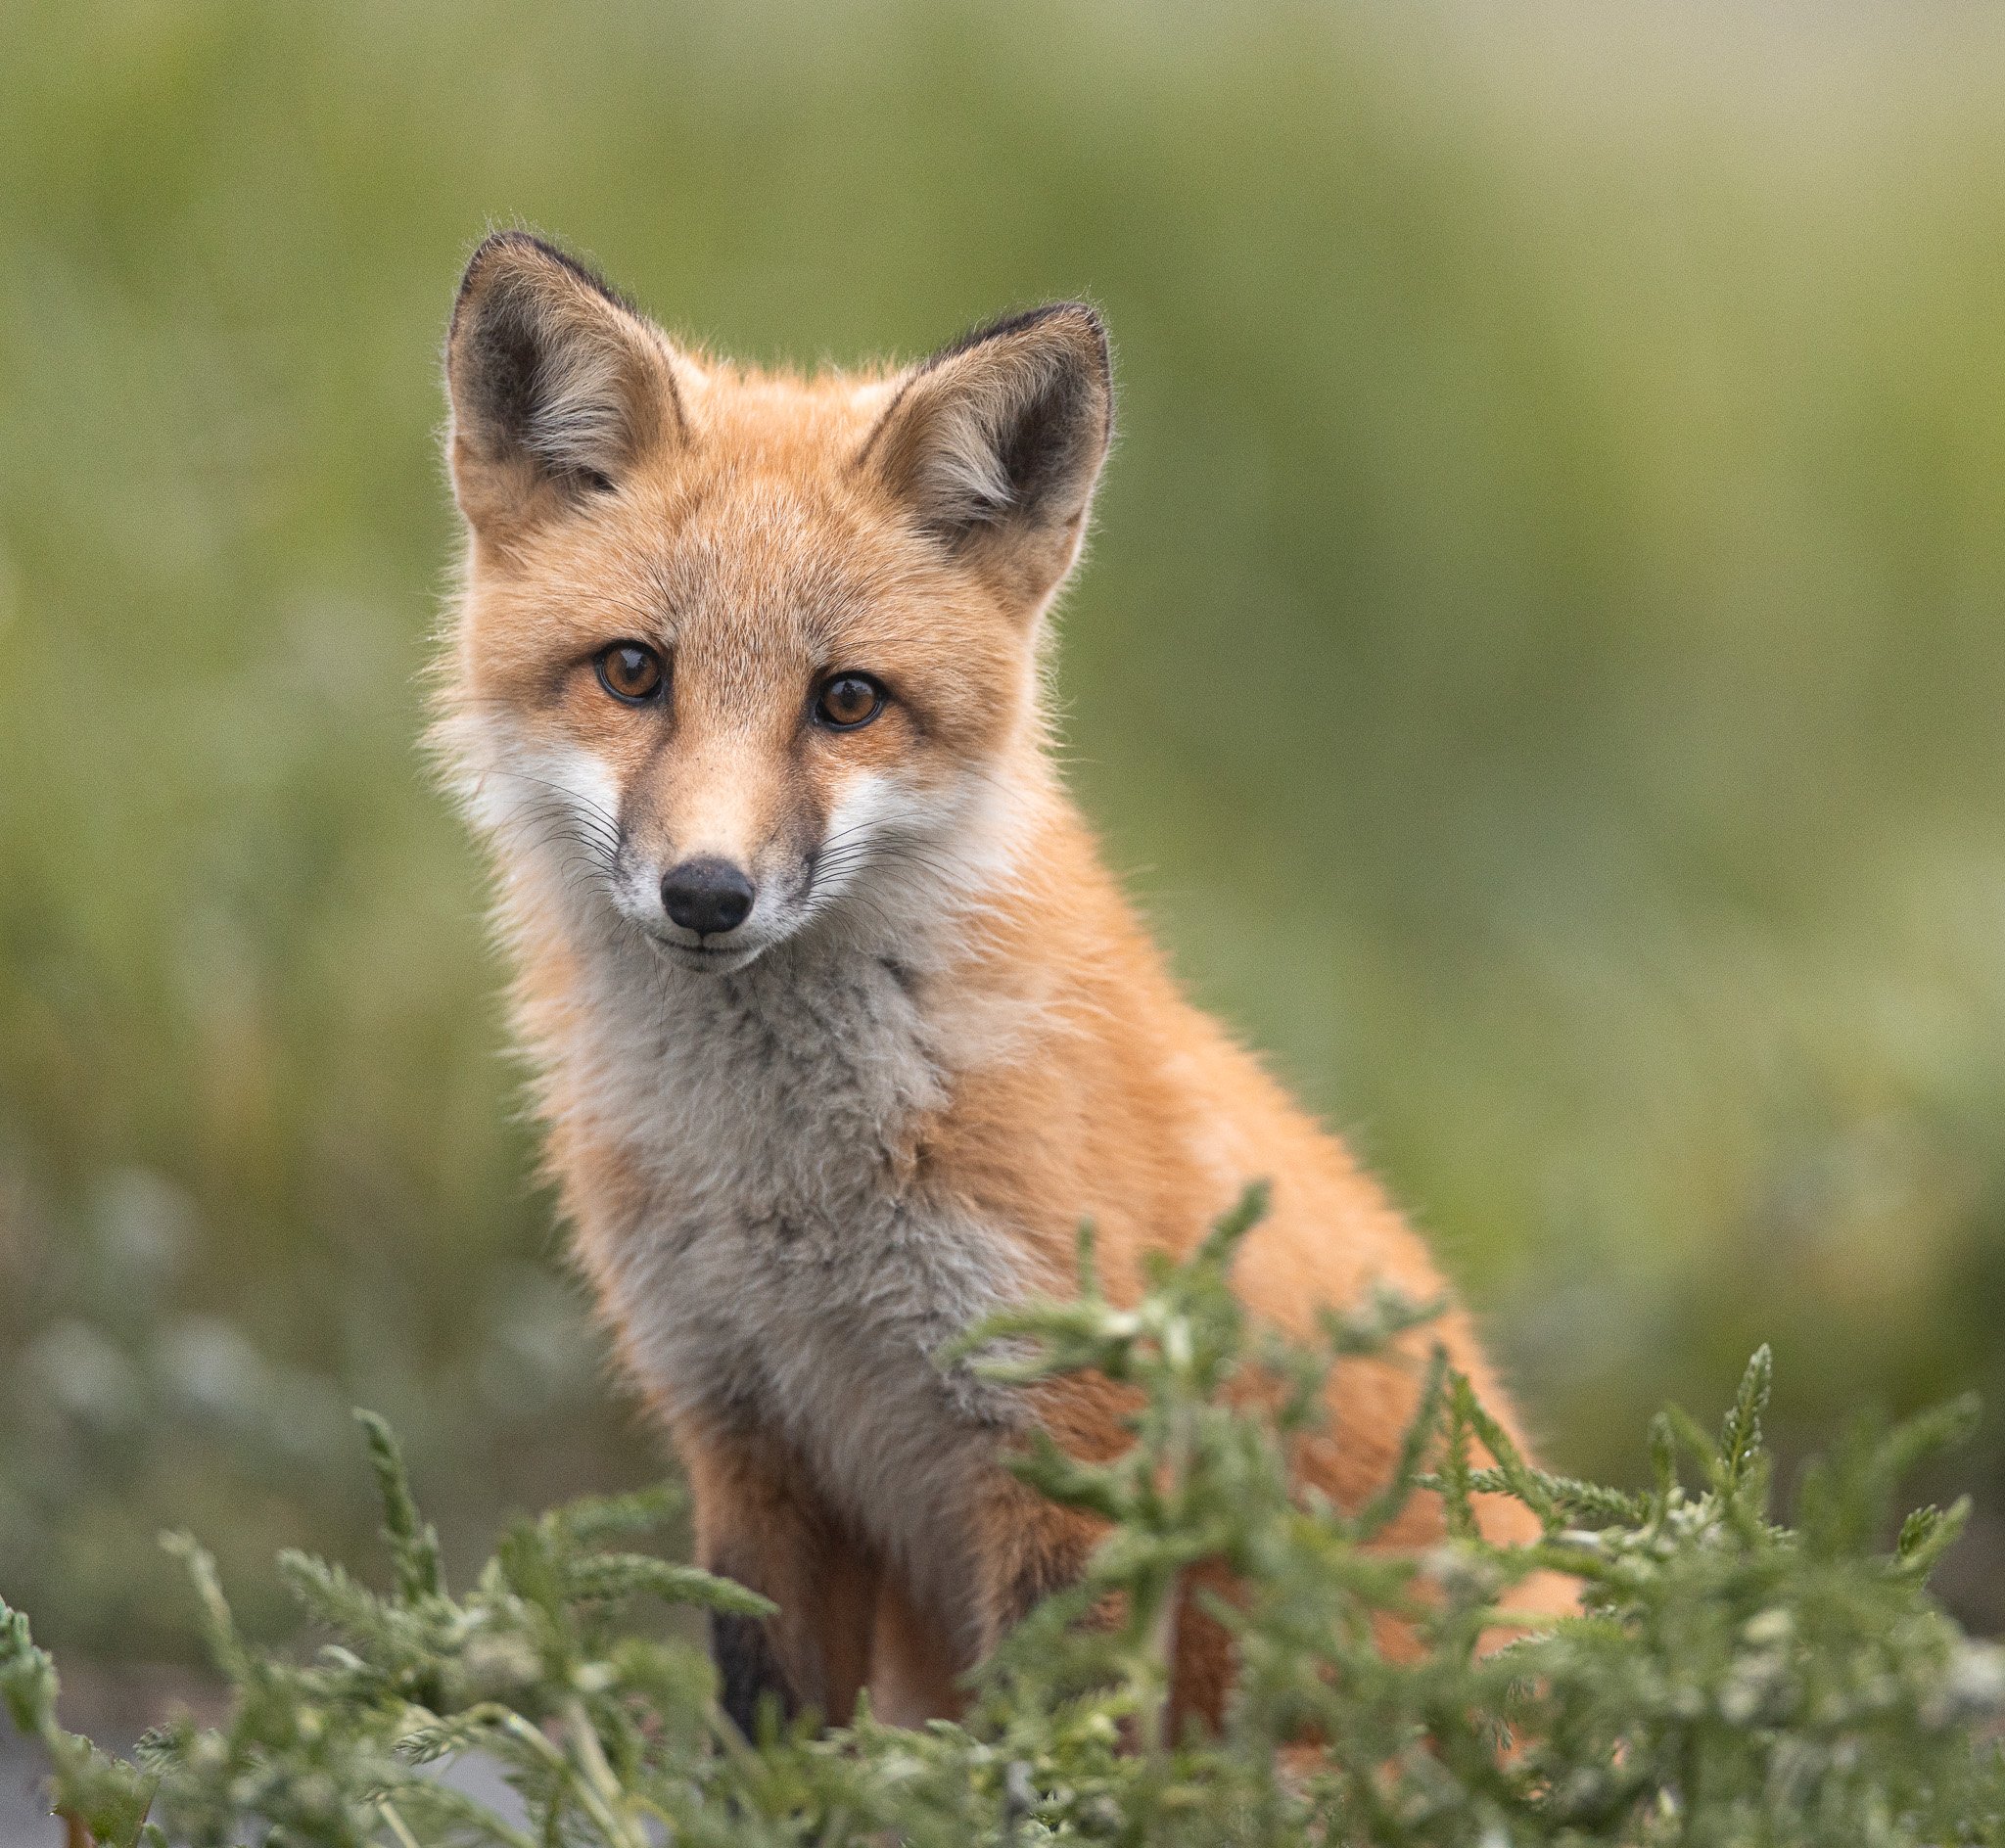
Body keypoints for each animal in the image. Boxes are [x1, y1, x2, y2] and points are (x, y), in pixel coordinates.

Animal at [436, 230, 1557, 1737]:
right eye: (632, 672)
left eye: (847, 701)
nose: (708, 894)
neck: (783, 1194)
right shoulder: (744, 1437)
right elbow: (768, 1740)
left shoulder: (1062, 1446)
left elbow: (1048, 1745)